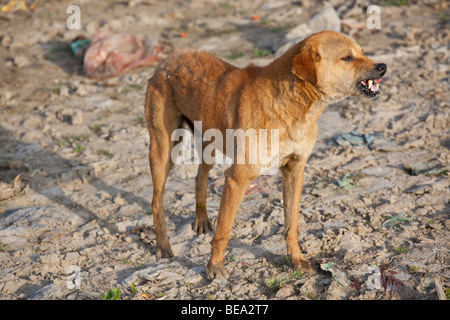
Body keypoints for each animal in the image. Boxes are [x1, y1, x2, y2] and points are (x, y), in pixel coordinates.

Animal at [145, 31, 386, 278]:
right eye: (347, 57)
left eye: (361, 51)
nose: (383, 67)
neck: (293, 106)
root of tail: (170, 58)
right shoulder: (237, 179)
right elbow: (224, 229)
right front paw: (214, 265)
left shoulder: (294, 171)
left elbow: (292, 223)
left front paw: (296, 259)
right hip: (164, 149)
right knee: (156, 201)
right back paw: (163, 246)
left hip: (209, 142)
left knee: (199, 177)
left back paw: (201, 218)